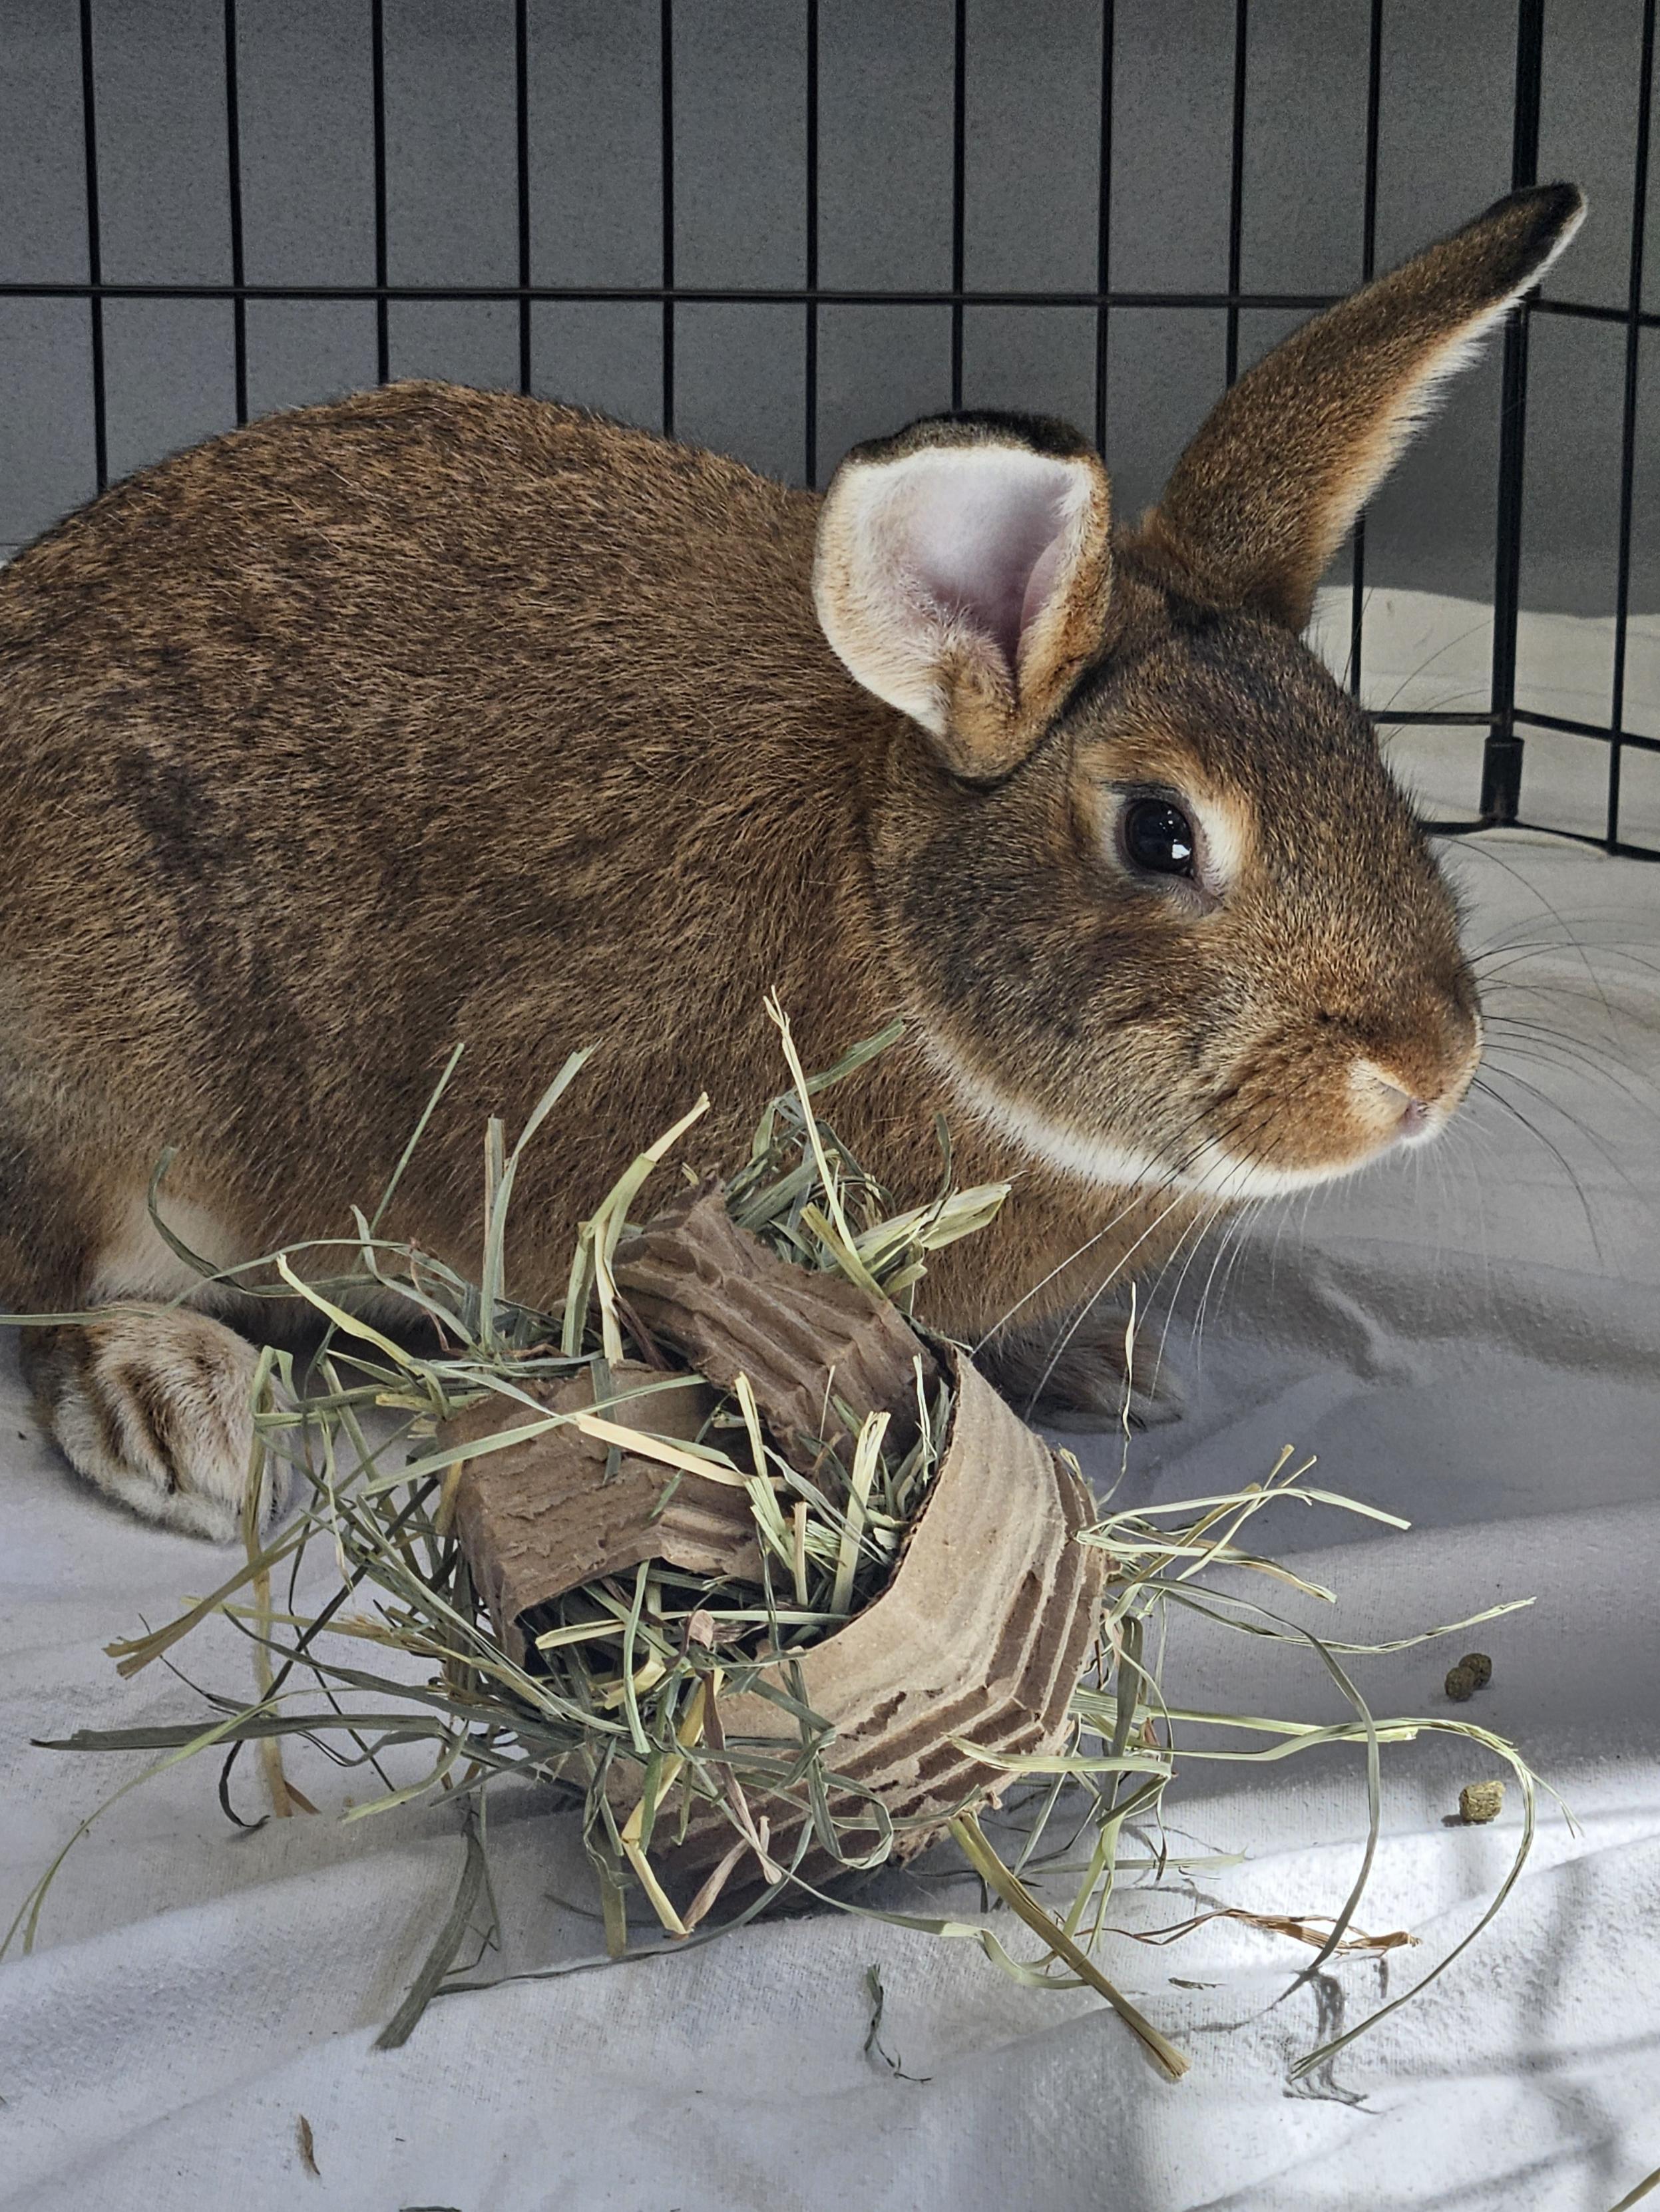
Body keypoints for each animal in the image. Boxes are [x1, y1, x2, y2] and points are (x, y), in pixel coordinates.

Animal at [0, 182, 1583, 1538]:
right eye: (1157, 831)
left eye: (1366, 757)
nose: (1424, 1073)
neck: (885, 910)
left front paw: (1083, 1364)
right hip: (104, 1099)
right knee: (46, 1282)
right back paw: (173, 1409)